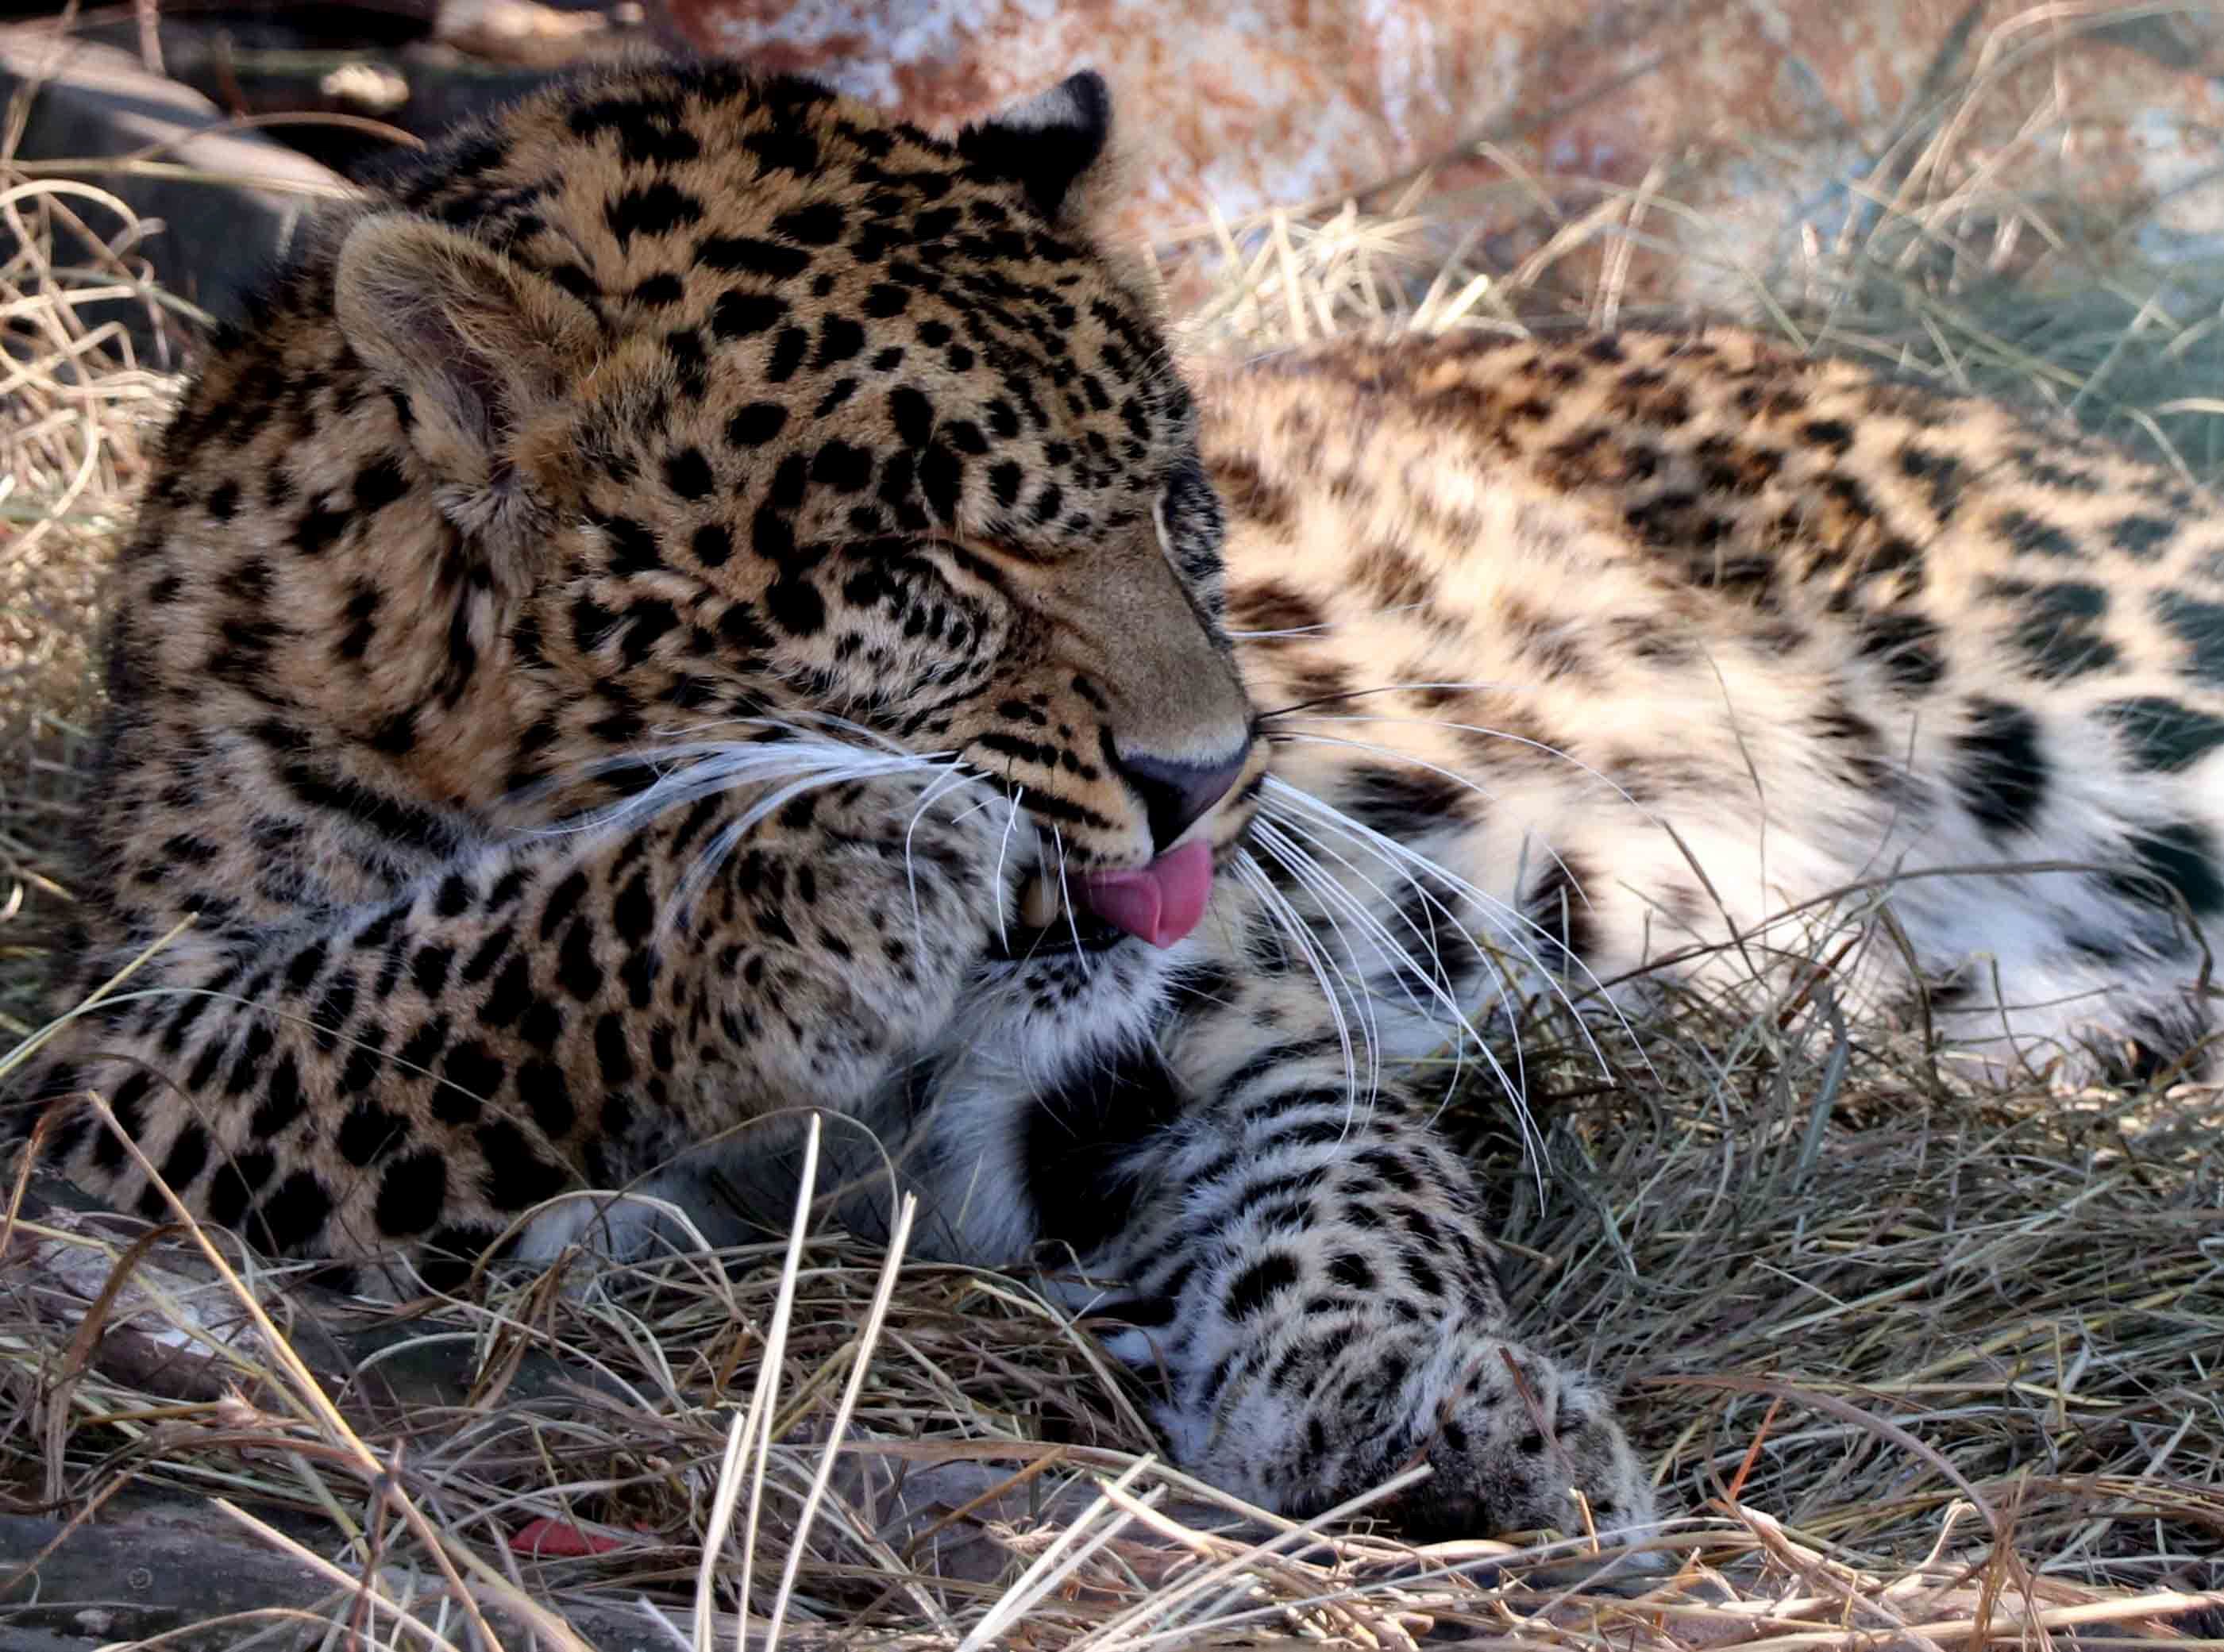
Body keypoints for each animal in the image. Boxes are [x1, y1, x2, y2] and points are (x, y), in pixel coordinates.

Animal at [12, 56, 2224, 1554]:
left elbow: (1336, 1180)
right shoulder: (110, 1052)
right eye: (930, 561)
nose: (1209, 777)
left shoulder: (1222, 1005)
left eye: (1176, 501)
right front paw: (801, 868)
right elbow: (415, 980)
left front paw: (1418, 1403)